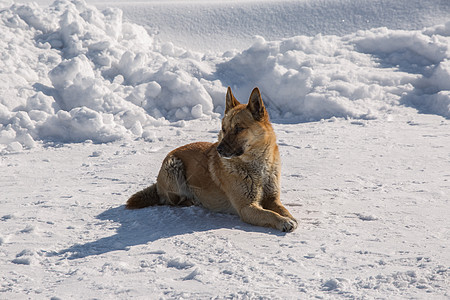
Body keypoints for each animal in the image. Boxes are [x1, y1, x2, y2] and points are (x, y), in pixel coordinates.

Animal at [125, 86, 298, 232]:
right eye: (224, 129)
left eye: (238, 128)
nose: (219, 150)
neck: (257, 167)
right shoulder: (247, 207)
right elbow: (270, 214)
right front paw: (284, 222)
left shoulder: (272, 199)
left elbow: (282, 209)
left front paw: (289, 217)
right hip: (173, 167)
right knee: (171, 200)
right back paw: (191, 200)